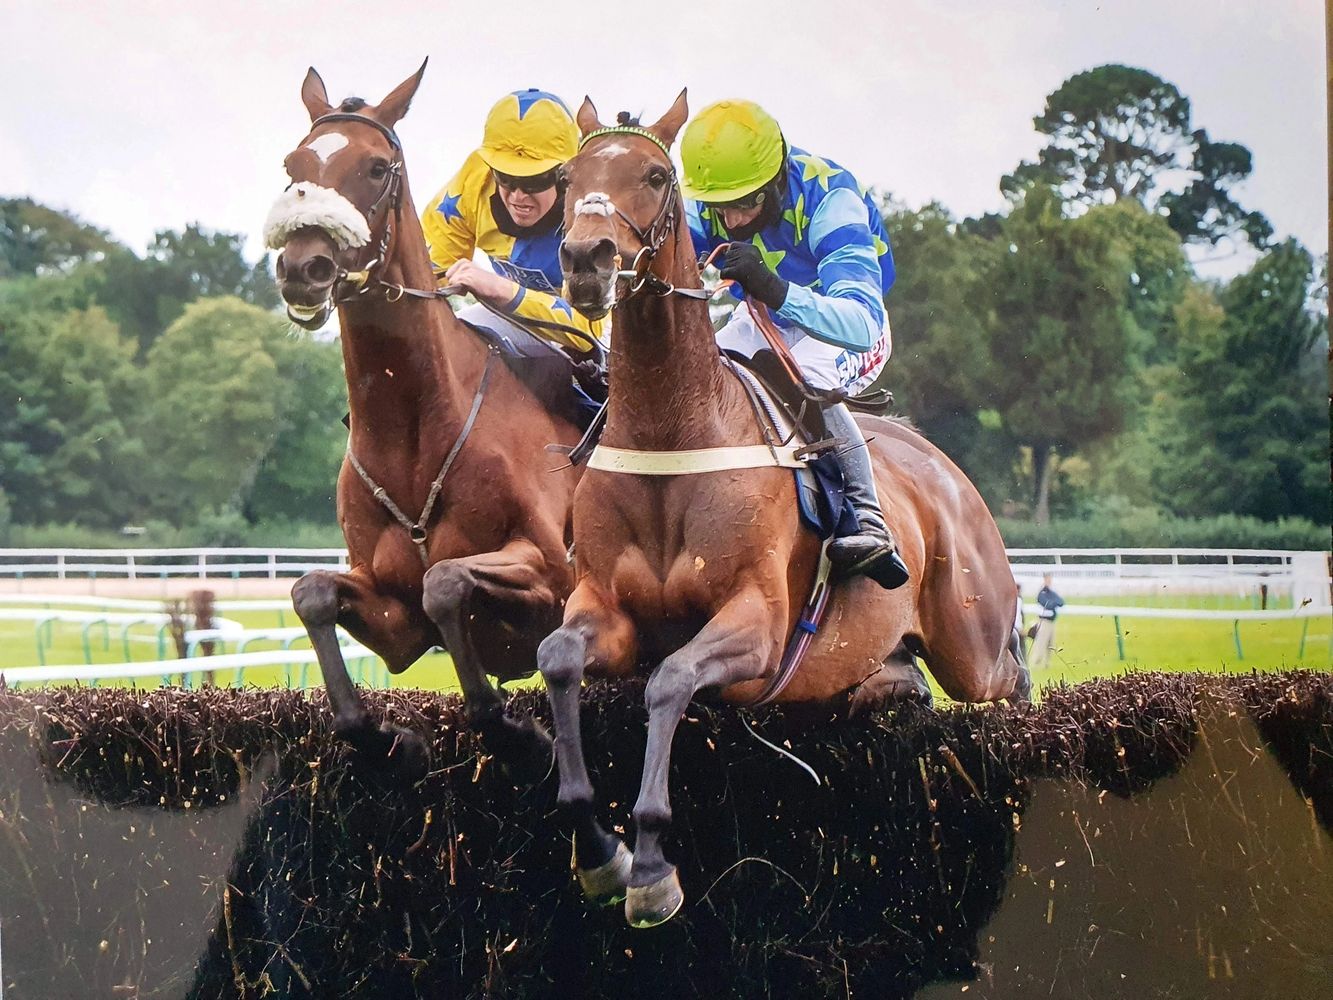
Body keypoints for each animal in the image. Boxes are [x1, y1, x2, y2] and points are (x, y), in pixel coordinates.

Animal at [266, 64, 583, 784]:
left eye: (377, 167)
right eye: (293, 165)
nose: (303, 267)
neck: (416, 434)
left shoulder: (552, 576)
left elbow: (446, 582)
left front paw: (518, 732)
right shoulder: (392, 612)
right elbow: (311, 594)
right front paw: (389, 737)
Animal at [535, 94, 1023, 933]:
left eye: (656, 175)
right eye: (570, 176)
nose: (586, 260)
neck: (672, 428)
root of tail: (945, 471)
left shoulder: (756, 622)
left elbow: (669, 681)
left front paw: (652, 868)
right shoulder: (604, 609)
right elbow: (559, 658)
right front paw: (600, 853)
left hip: (974, 642)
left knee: (1013, 676)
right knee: (901, 683)